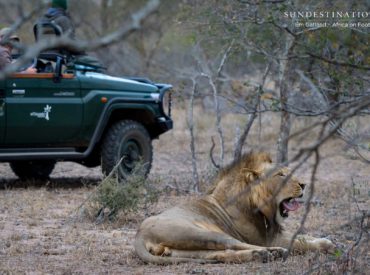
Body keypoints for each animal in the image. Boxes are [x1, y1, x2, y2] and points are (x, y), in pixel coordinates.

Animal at [134, 152, 336, 264]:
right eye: (280, 175)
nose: (303, 184)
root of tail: (140, 235)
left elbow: (304, 236)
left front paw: (328, 240)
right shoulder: (268, 238)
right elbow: (301, 242)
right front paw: (328, 244)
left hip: (185, 247)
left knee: (217, 255)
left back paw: (259, 255)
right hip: (201, 233)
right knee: (234, 245)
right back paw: (271, 252)